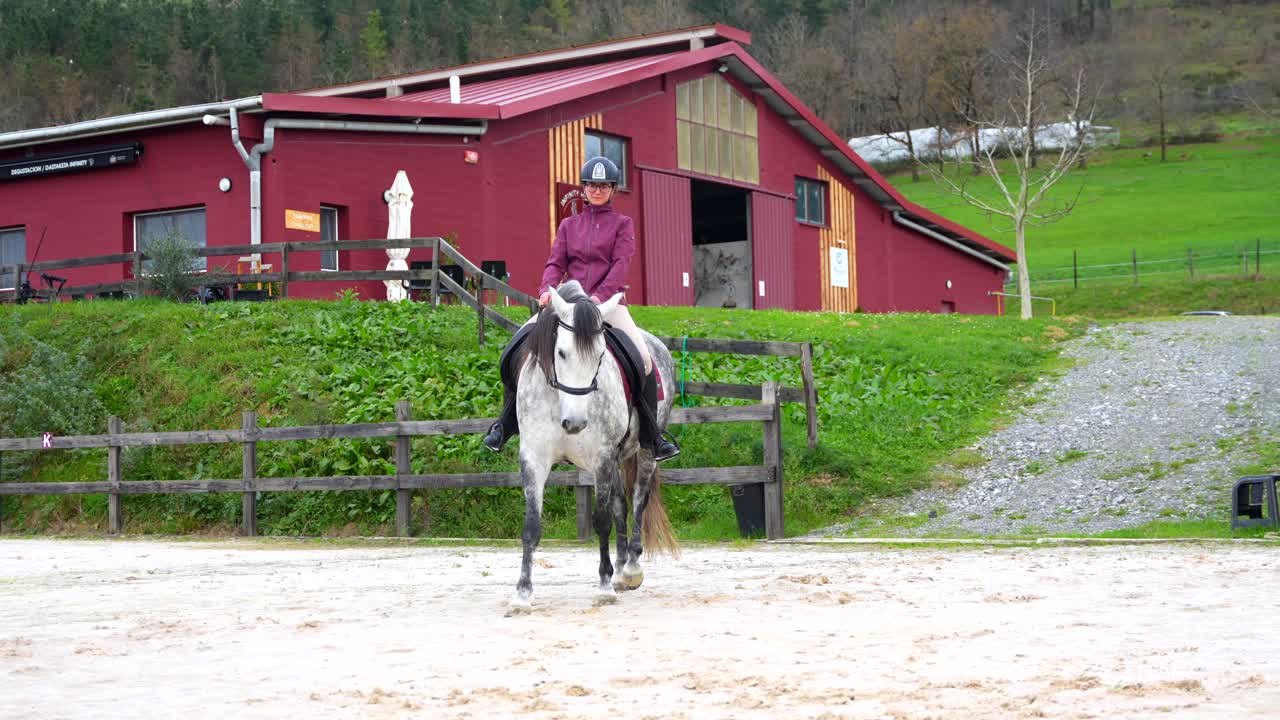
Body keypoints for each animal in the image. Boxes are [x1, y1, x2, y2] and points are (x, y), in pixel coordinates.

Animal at [507, 280, 679, 614]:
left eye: (601, 354)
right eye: (560, 353)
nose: (574, 422)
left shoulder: (601, 457)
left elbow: (600, 522)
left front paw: (603, 588)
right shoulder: (534, 458)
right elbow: (531, 525)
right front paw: (522, 594)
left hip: (643, 453)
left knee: (638, 500)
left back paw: (630, 569)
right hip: (614, 461)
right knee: (620, 505)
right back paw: (621, 567)